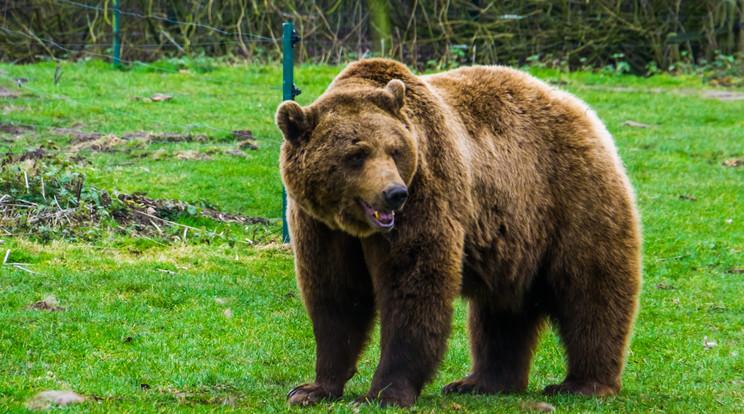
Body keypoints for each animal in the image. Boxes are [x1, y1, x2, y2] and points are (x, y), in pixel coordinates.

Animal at [276, 58, 644, 408]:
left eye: (395, 150)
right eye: (356, 154)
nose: (394, 193)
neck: (357, 226)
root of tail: (581, 109)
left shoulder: (426, 193)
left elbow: (413, 287)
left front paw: (384, 392)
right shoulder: (322, 227)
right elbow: (336, 296)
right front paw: (312, 389)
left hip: (572, 198)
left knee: (590, 289)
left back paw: (583, 383)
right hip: (514, 237)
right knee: (502, 313)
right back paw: (482, 382)